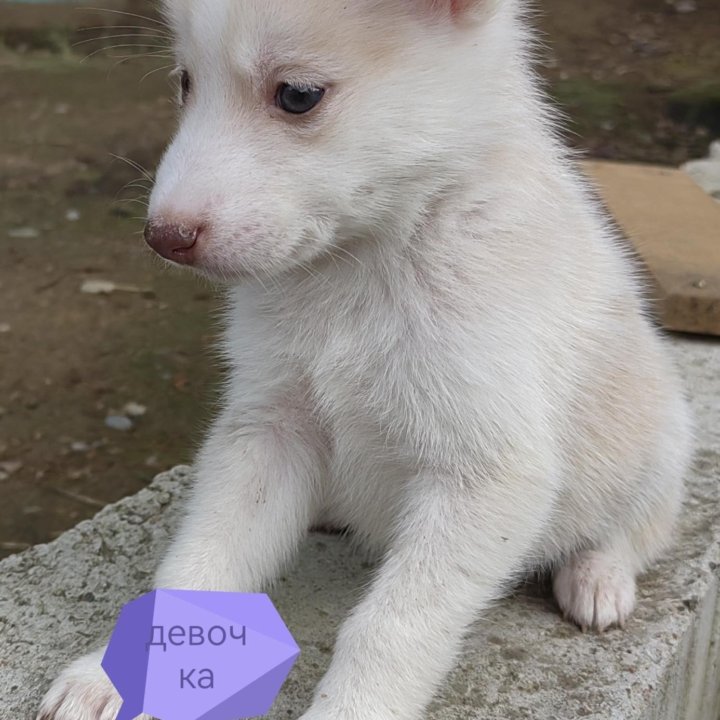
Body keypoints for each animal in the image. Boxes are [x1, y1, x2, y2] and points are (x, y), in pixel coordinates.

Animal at [38, 1, 692, 720]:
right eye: (185, 82)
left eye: (298, 95)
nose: (163, 238)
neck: (363, 265)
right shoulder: (265, 429)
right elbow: (198, 560)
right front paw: (117, 672)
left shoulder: (487, 474)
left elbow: (391, 626)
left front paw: (352, 705)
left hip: (663, 439)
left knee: (637, 525)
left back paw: (598, 576)